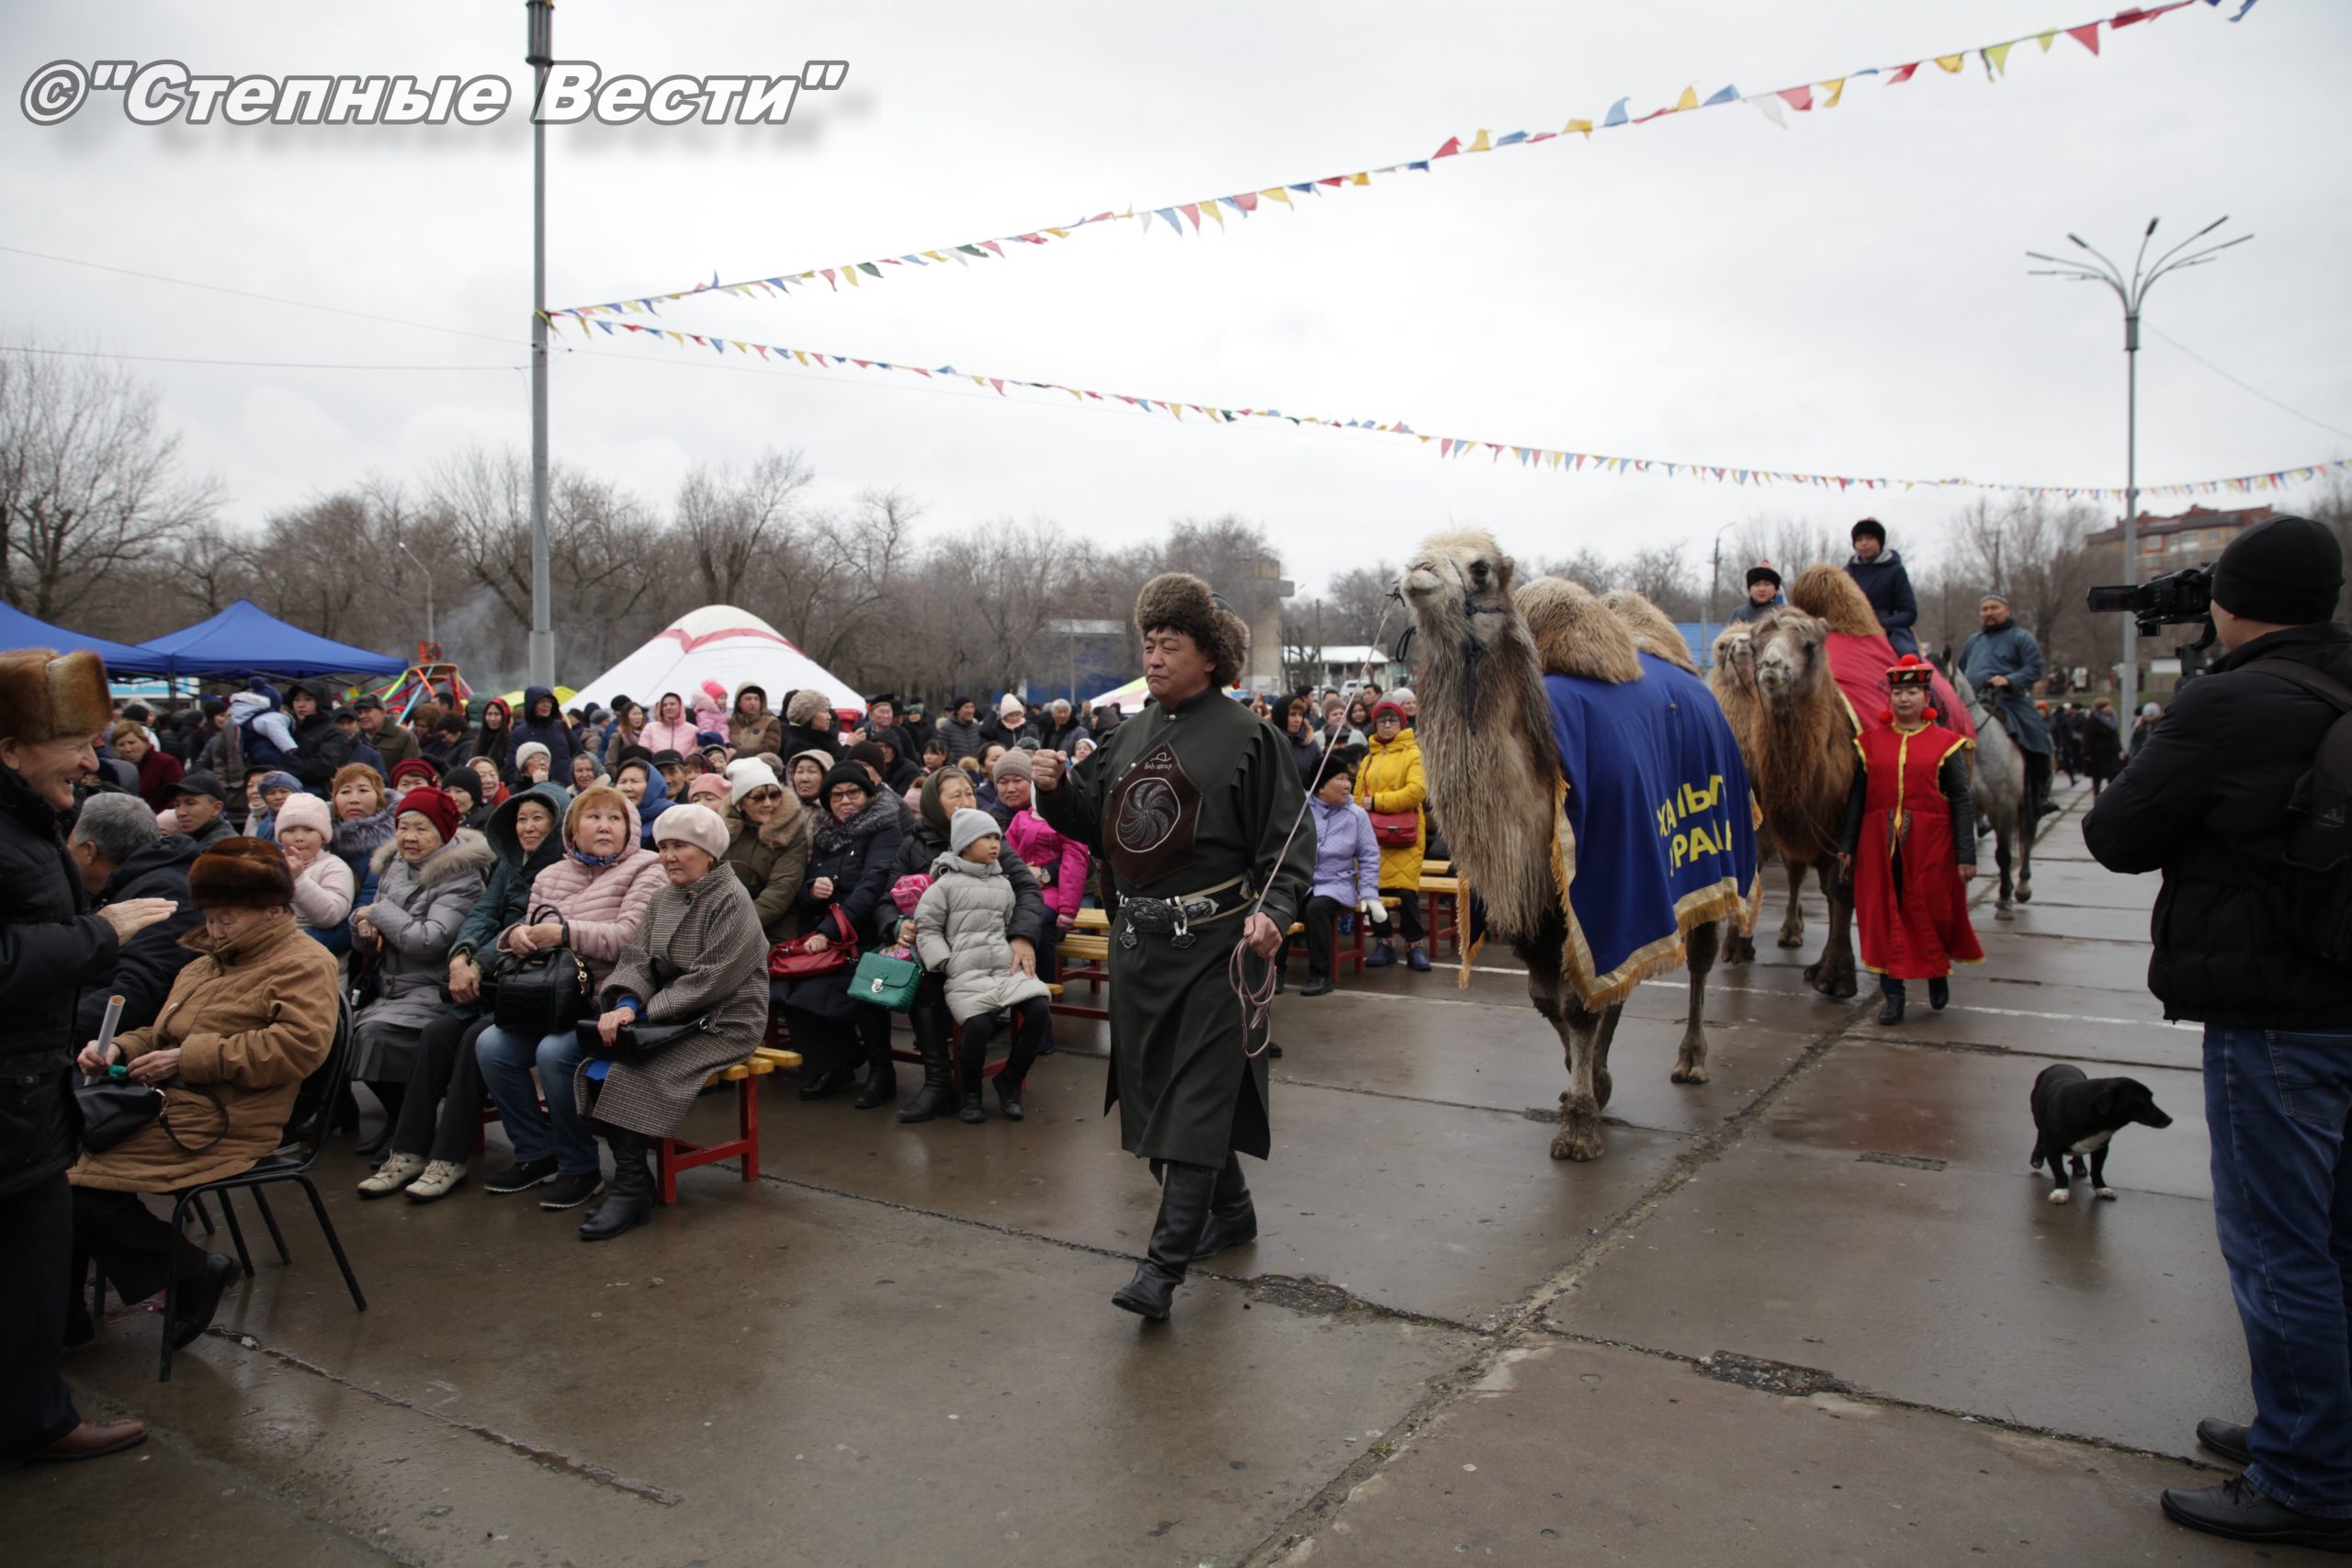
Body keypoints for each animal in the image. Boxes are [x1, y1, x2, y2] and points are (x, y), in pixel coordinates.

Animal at [1400, 532, 1755, 1162]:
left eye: (1480, 567)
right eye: (1420, 548)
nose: (1416, 571)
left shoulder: (1600, 883)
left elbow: (1575, 1002)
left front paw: (1580, 1127)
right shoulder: (1534, 903)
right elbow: (1550, 997)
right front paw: (1586, 1083)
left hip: (1714, 850)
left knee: (1699, 953)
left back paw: (1691, 1061)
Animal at [2029, 1063, 2173, 1204]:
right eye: (2141, 1101)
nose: (2169, 1120)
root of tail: (2061, 1064)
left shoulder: (2101, 1147)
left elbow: (2097, 1169)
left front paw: (2101, 1188)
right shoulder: (2052, 1148)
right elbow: (2060, 1172)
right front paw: (2060, 1191)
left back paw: (2079, 1164)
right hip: (2037, 1116)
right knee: (2040, 1133)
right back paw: (2037, 1157)